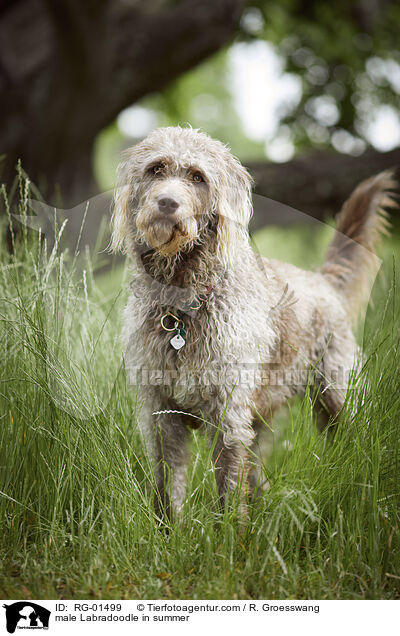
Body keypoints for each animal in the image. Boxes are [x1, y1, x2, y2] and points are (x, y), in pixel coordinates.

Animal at [111, 126, 396, 520]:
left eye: (198, 177)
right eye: (156, 169)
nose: (167, 203)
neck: (183, 306)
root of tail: (323, 281)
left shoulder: (228, 418)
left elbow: (229, 495)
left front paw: (230, 535)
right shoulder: (162, 418)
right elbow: (168, 493)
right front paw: (169, 533)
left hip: (338, 399)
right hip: (261, 421)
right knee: (260, 481)